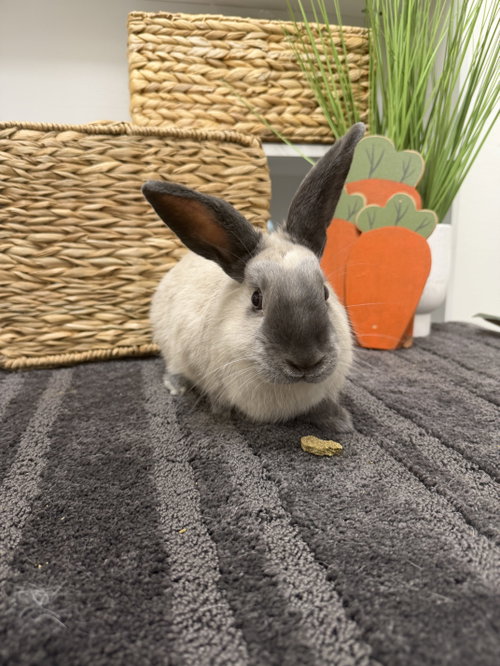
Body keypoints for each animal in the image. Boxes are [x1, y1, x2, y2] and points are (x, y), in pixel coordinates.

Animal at [142, 123, 365, 432]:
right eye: (256, 298)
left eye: (325, 293)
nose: (306, 361)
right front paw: (221, 414)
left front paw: (341, 422)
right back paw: (177, 386)